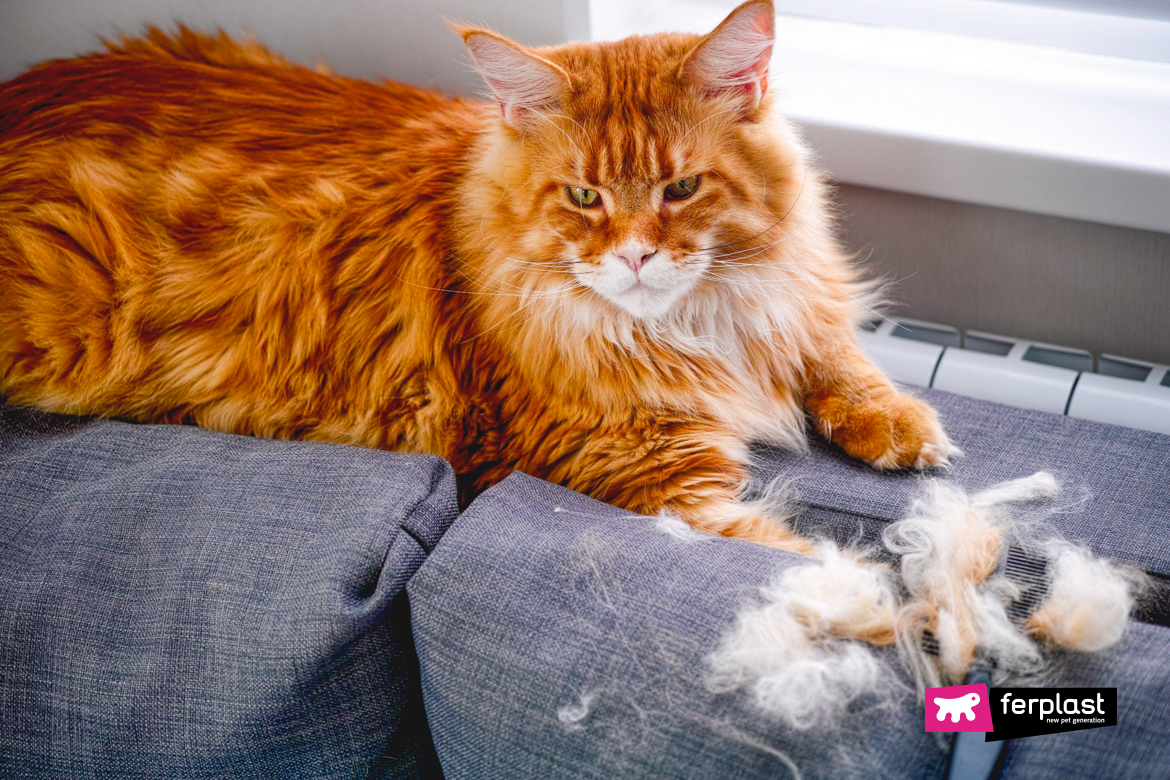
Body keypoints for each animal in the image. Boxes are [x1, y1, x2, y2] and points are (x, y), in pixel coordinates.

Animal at [0, 1, 954, 549]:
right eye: (583, 196)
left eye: (681, 189)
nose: (637, 255)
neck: (694, 324)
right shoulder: (653, 477)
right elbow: (812, 577)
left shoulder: (790, 308)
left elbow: (838, 358)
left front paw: (904, 428)